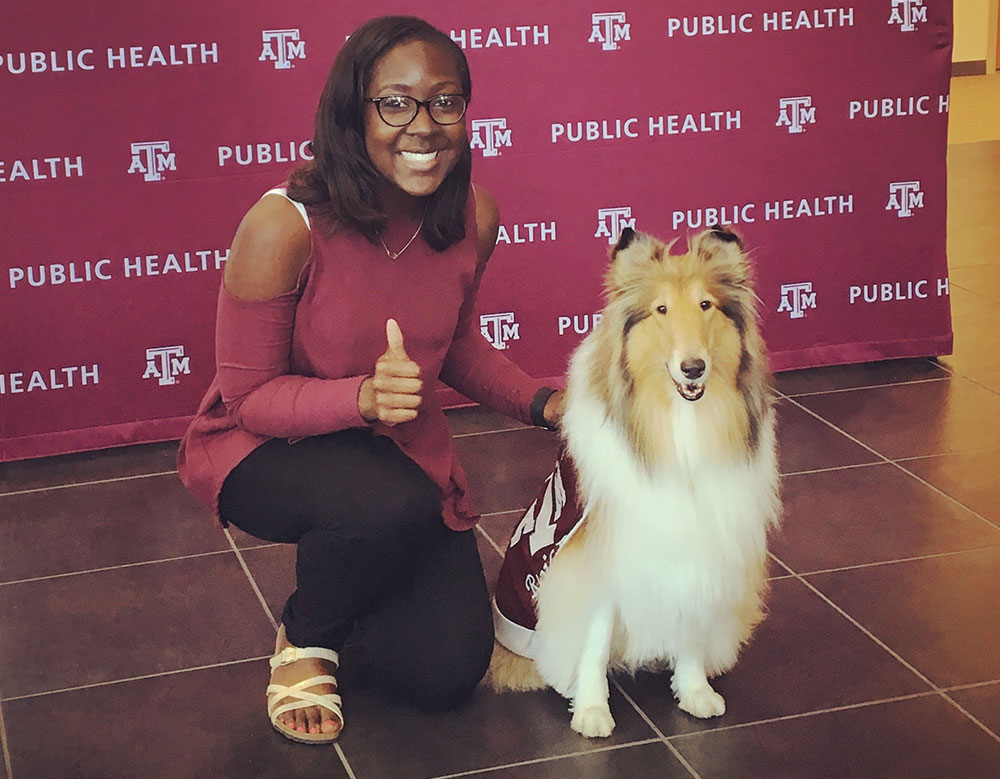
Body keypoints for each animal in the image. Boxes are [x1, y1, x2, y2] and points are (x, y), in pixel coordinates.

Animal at [490, 225, 780, 736]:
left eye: (706, 305)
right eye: (661, 309)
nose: (693, 367)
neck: (680, 427)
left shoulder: (700, 543)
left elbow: (691, 617)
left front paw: (695, 690)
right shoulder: (604, 555)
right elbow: (594, 638)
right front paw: (591, 710)